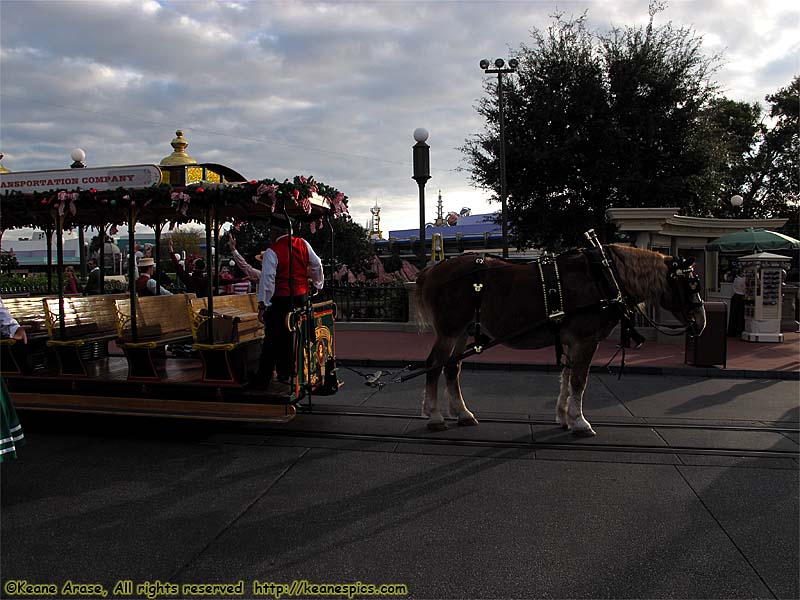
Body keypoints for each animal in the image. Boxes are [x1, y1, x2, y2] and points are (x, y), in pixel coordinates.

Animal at [412, 244, 708, 436]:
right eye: (691, 283)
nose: (701, 321)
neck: (604, 276)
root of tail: (434, 268)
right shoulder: (586, 339)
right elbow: (579, 379)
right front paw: (580, 422)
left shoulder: (571, 341)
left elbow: (566, 377)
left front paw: (564, 416)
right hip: (449, 331)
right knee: (434, 365)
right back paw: (435, 416)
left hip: (462, 331)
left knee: (452, 367)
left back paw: (462, 413)